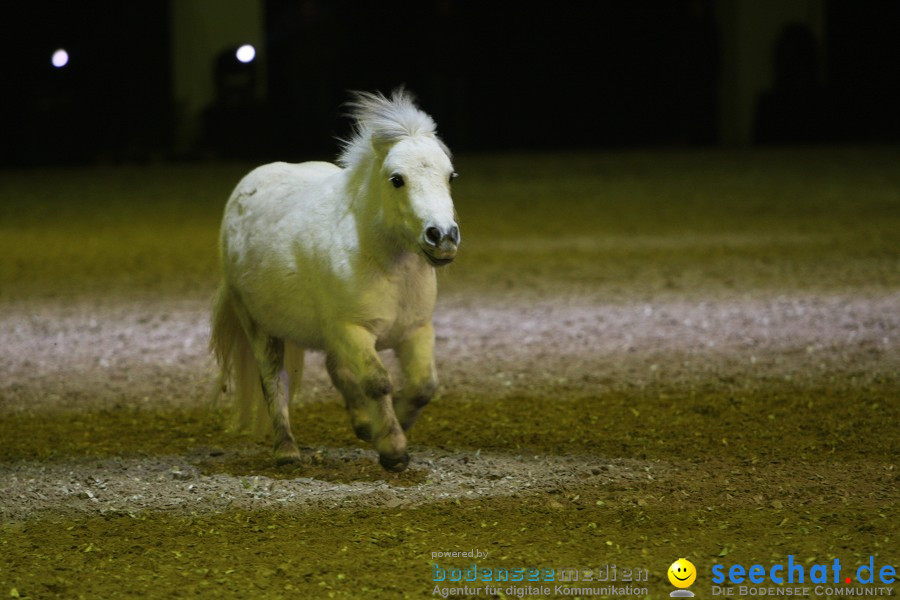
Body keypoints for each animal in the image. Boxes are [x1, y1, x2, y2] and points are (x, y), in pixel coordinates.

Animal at [209, 90, 458, 474]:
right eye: (397, 179)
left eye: (450, 176)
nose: (442, 236)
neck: (385, 263)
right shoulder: (352, 331)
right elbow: (377, 382)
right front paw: (393, 448)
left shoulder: (416, 330)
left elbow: (422, 386)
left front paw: (391, 429)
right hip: (257, 325)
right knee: (273, 380)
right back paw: (287, 451)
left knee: (336, 370)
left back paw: (362, 424)